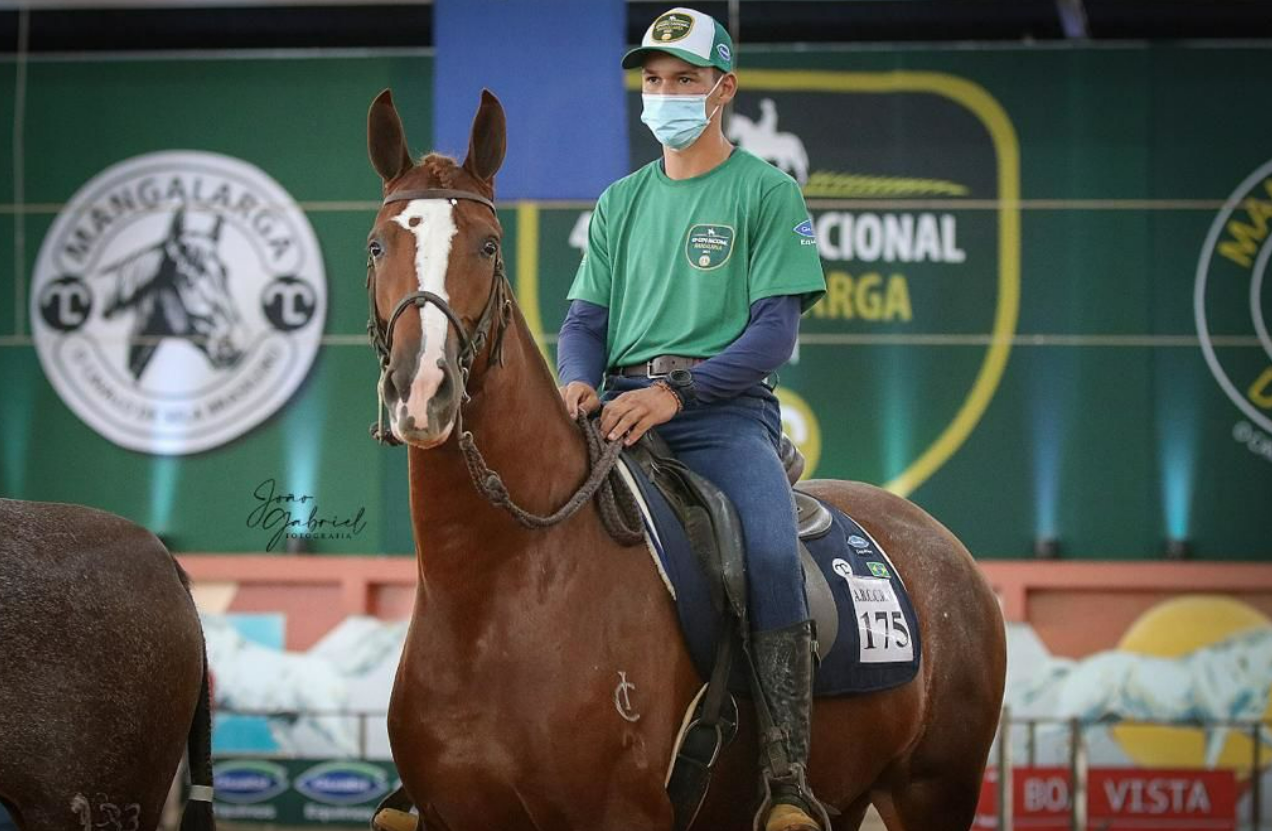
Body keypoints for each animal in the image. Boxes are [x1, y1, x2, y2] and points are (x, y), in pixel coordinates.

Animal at [361, 87, 1002, 824]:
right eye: (377, 244)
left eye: (487, 246)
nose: (422, 390)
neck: (500, 585)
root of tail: (950, 552)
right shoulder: (456, 814)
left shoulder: (622, 813)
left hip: (935, 789)